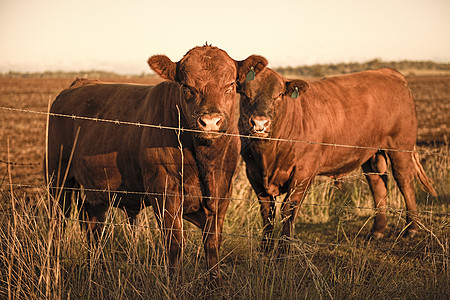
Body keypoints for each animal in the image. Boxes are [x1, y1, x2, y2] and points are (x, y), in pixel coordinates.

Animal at [46, 45, 268, 282]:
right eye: (187, 86)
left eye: (230, 85)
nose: (210, 122)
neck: (204, 160)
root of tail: (80, 83)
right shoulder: (164, 191)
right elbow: (174, 244)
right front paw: (175, 284)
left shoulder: (222, 192)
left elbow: (212, 244)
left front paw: (215, 283)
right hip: (58, 177)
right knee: (57, 224)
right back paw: (53, 272)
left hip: (96, 189)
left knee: (92, 226)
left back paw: (96, 272)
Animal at [237, 67, 438, 251]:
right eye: (246, 94)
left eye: (278, 95)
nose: (260, 123)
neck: (268, 156)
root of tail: (388, 71)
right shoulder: (252, 172)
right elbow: (267, 212)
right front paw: (265, 250)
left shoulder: (304, 170)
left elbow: (289, 209)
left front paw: (283, 251)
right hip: (371, 153)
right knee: (378, 186)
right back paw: (377, 232)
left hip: (400, 145)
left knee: (404, 181)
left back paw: (412, 228)